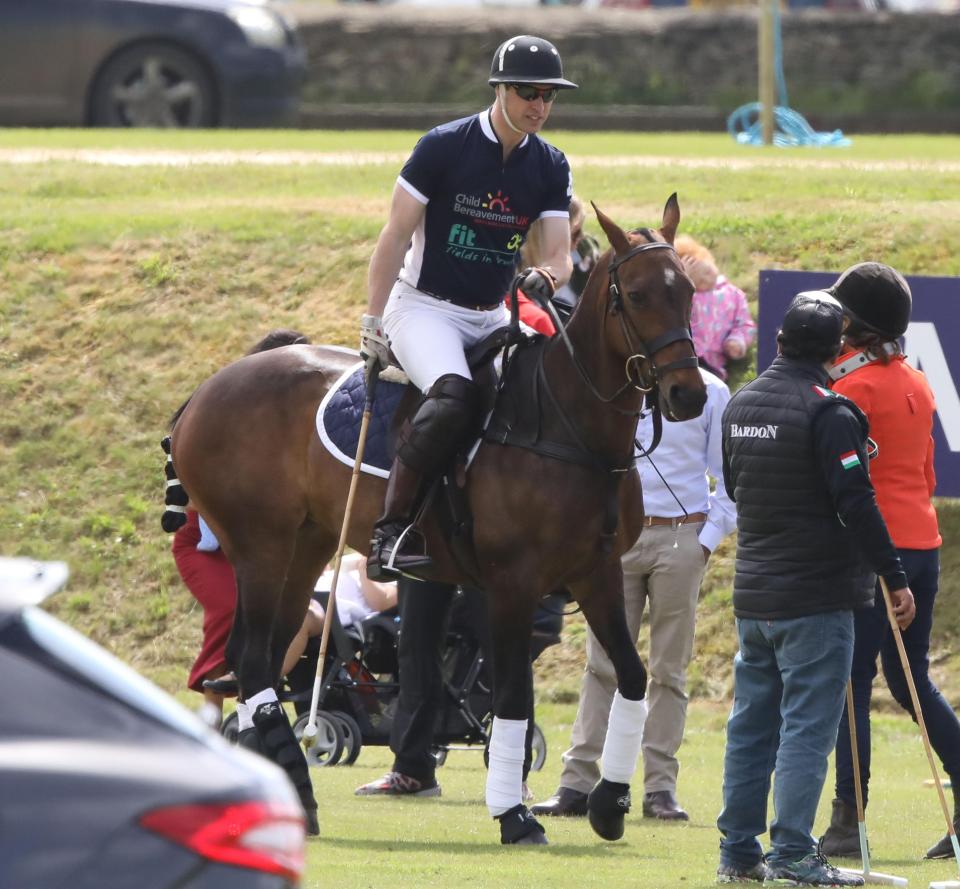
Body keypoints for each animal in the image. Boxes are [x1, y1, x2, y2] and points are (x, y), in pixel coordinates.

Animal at [171, 196, 704, 848]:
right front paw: (515, 815)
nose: (687, 395)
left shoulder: (596, 573)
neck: (566, 424)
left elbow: (631, 676)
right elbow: (512, 695)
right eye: (636, 295)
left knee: (266, 655)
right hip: (259, 544)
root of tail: (204, 391)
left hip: (306, 545)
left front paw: (608, 803)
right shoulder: (512, 583)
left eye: (688, 293)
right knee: (249, 659)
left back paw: (286, 795)